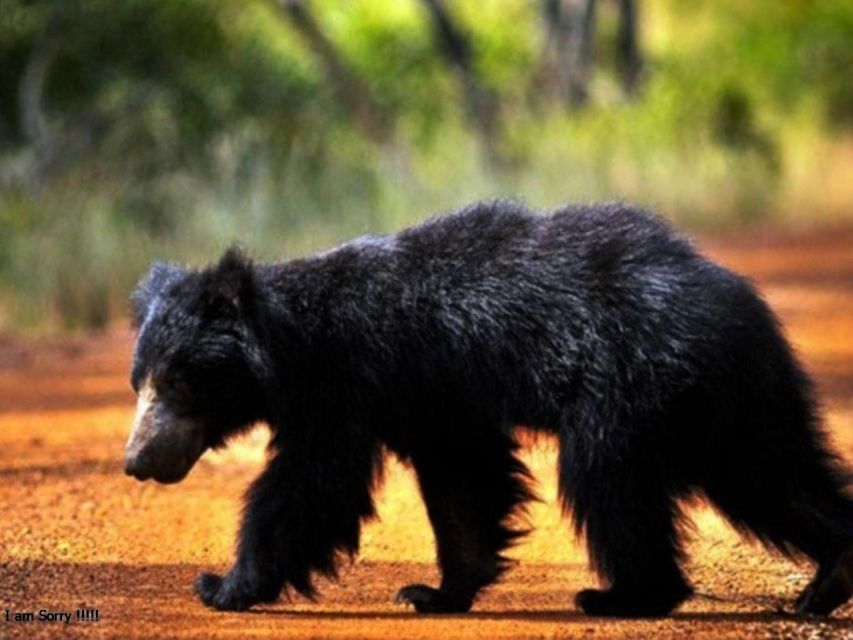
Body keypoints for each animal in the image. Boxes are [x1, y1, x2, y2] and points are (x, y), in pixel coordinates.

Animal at [123, 202, 852, 616]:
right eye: (139, 383)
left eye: (175, 382)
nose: (136, 462)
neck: (289, 342)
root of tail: (729, 297)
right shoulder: (432, 398)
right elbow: (462, 484)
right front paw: (434, 594)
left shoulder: (348, 383)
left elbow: (311, 484)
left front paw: (220, 585)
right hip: (732, 400)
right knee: (773, 478)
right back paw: (825, 583)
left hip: (631, 382)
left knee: (608, 481)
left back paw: (625, 595)